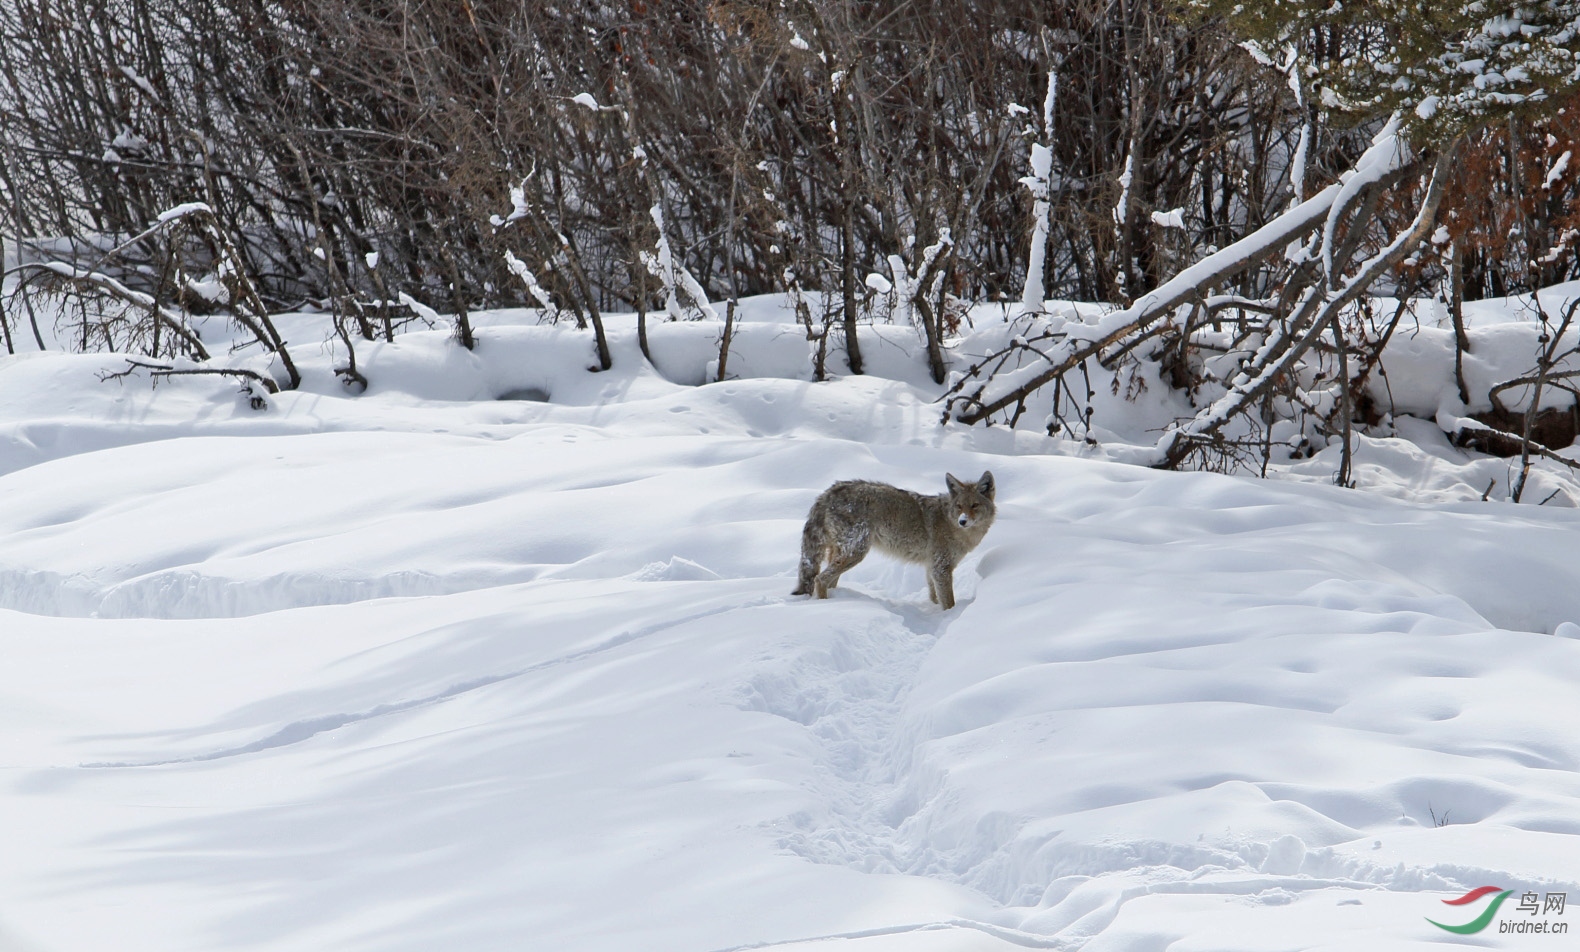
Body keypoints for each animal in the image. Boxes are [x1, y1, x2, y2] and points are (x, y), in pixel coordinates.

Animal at [790, 470, 998, 609]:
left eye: (975, 505)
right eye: (959, 506)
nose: (963, 521)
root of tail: (827, 493)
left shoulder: (932, 567)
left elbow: (934, 597)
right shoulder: (941, 568)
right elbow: (949, 602)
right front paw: (951, 617)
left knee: (827, 579)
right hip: (856, 553)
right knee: (820, 579)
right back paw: (825, 606)